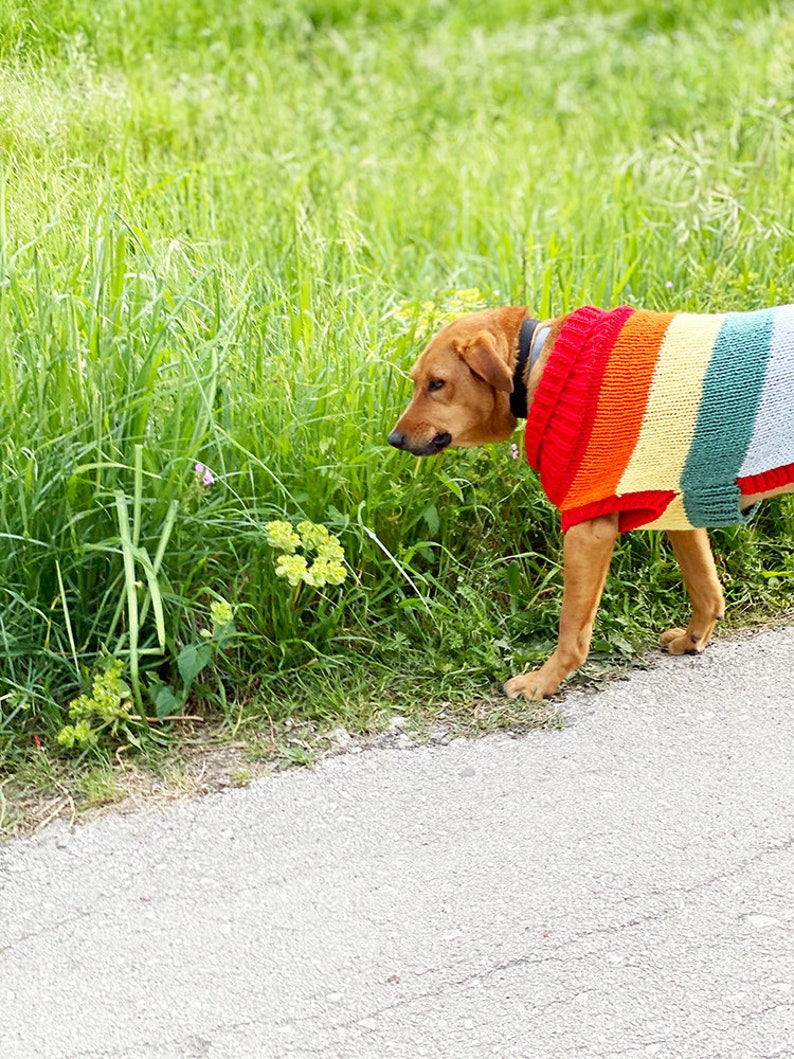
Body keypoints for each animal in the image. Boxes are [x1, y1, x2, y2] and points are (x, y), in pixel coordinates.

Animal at [387, 302, 794, 698]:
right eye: (418, 383)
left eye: (437, 384)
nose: (393, 439)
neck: (535, 358)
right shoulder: (681, 511)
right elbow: (705, 588)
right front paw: (695, 637)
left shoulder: (587, 530)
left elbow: (572, 629)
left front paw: (544, 681)